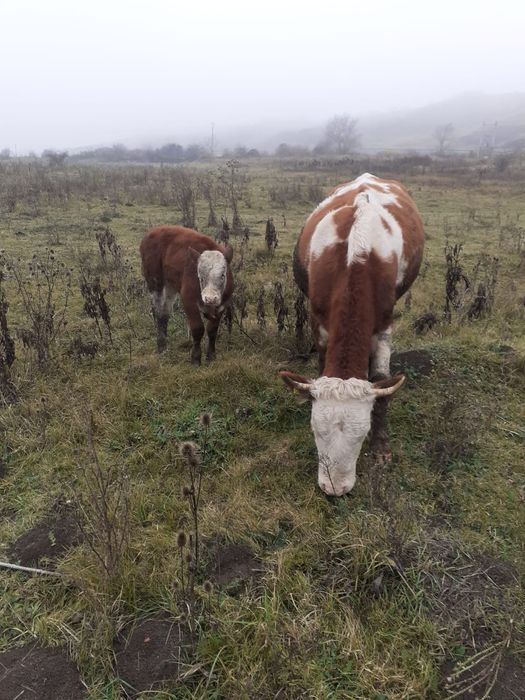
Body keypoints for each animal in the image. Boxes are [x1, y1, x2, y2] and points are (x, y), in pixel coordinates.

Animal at [140, 226, 233, 364]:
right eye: (200, 277)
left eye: (223, 275)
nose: (210, 298)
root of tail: (155, 229)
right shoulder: (188, 300)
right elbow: (197, 329)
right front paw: (196, 358)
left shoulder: (222, 305)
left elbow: (212, 330)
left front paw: (211, 356)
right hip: (154, 280)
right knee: (157, 311)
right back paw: (161, 346)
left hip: (170, 285)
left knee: (165, 312)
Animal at [280, 173, 425, 496]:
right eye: (315, 431)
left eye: (363, 435)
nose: (334, 489)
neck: (355, 257)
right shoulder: (319, 321)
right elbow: (321, 364)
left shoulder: (384, 324)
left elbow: (382, 381)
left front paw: (382, 447)